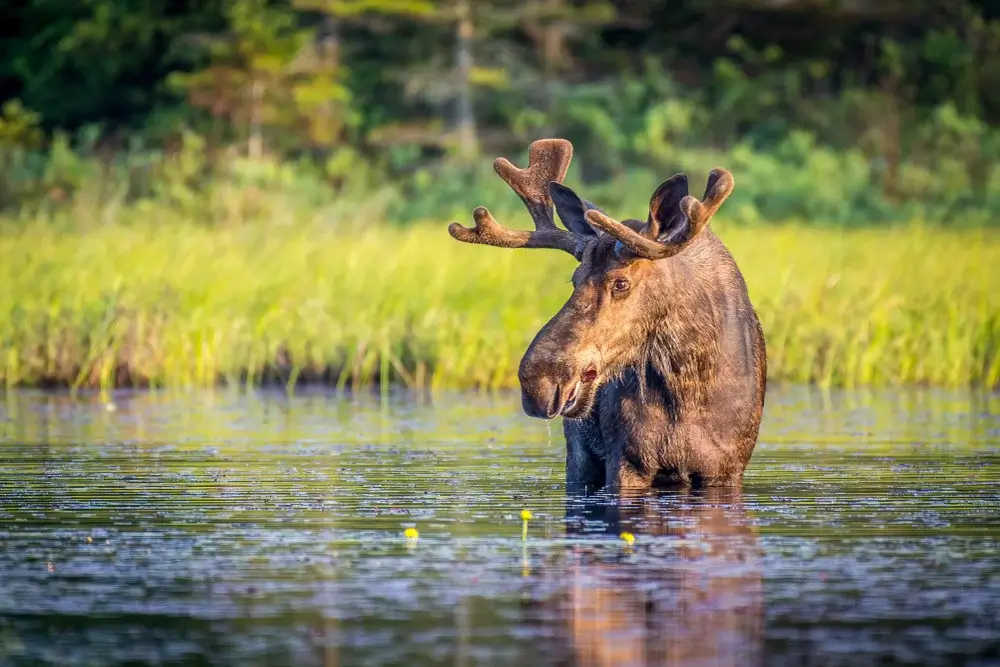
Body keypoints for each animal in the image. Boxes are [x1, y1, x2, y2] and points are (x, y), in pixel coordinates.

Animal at [450, 138, 768, 490]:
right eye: (574, 279)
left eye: (620, 282)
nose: (538, 381)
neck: (690, 382)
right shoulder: (627, 461)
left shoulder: (726, 469)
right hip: (579, 456)